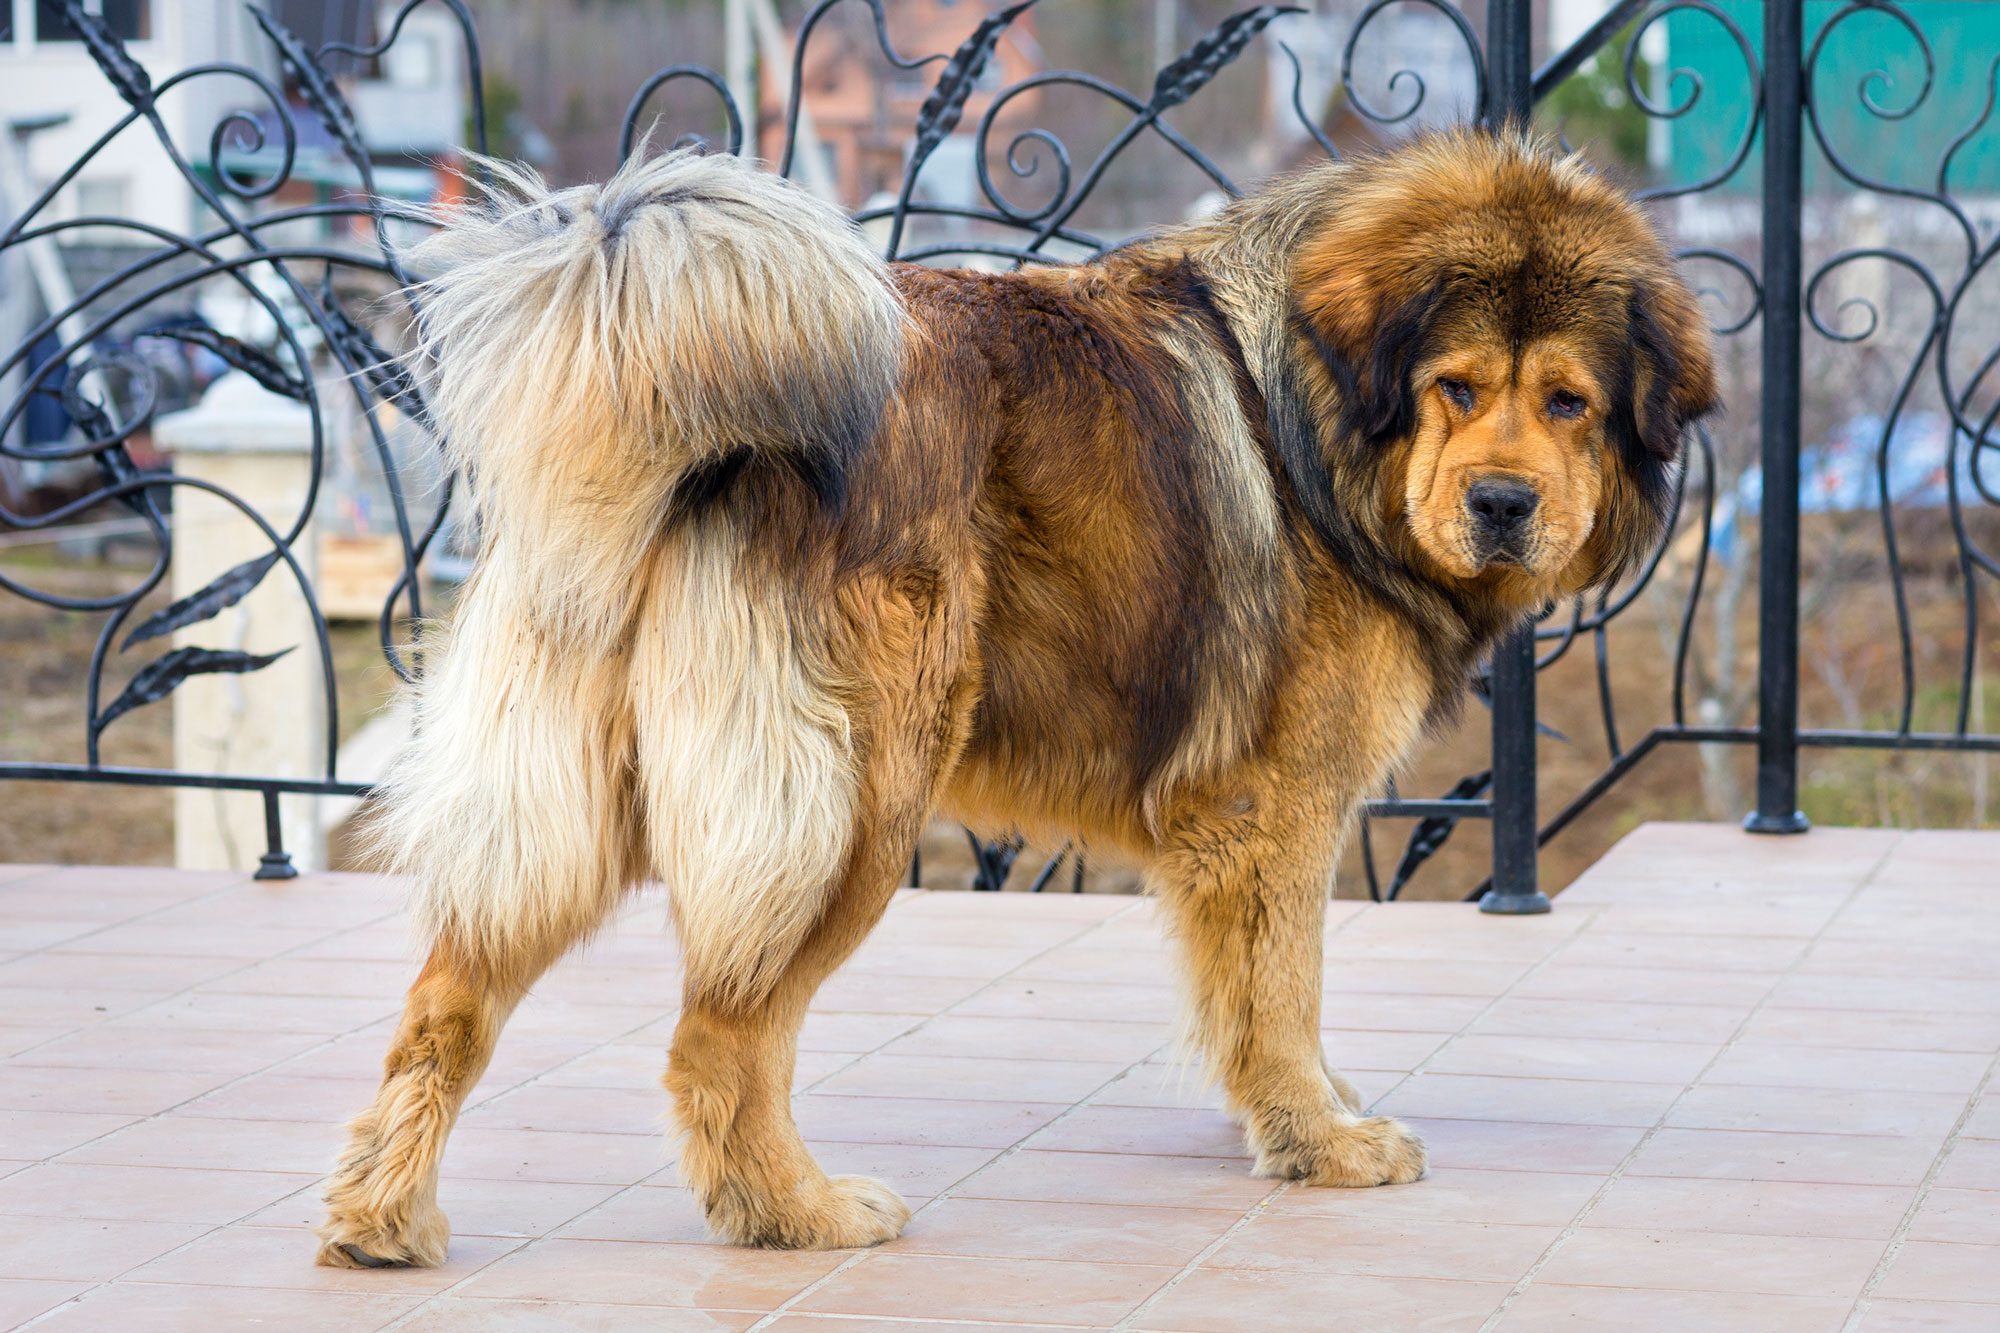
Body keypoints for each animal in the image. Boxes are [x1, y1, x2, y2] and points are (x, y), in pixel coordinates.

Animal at [320, 130, 1712, 1264]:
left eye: (1567, 403)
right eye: (1455, 389)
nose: (1502, 503)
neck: (1319, 424)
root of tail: (694, 426)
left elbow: (1254, 997)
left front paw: (1299, 1114)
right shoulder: (1272, 809)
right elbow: (1281, 991)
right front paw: (1320, 1139)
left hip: (580, 800)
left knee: (445, 1003)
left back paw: (381, 1220)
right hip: (853, 805)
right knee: (719, 1039)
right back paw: (794, 1213)